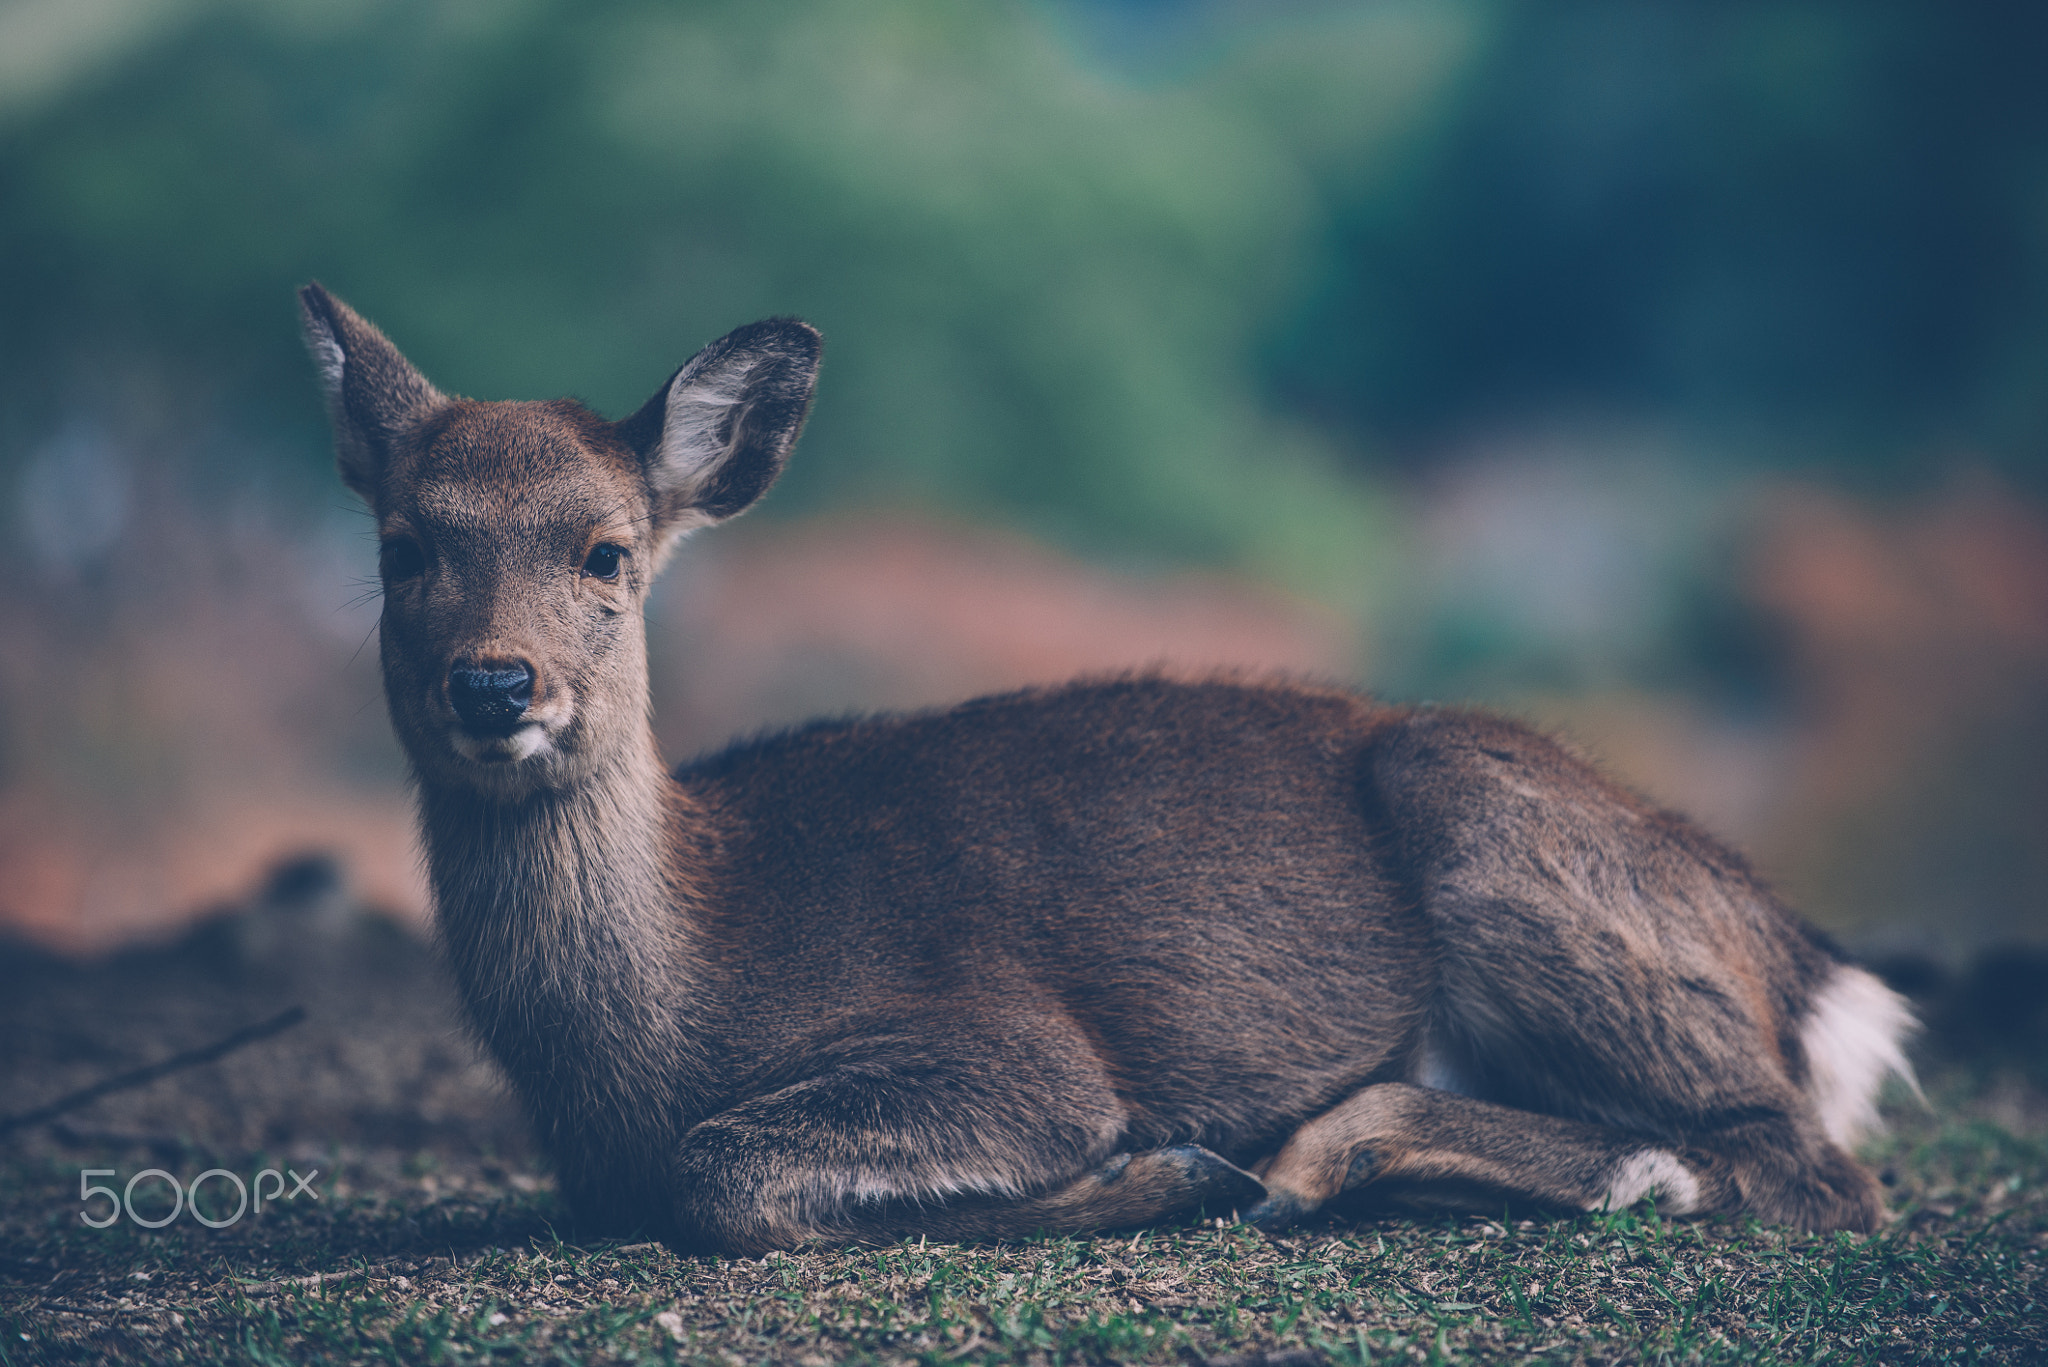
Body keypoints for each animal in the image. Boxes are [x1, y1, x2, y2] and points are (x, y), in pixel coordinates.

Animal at [299, 282, 1916, 1254]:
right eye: (406, 544)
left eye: (607, 552)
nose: (495, 679)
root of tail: (1819, 970)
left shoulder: (1008, 1046)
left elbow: (733, 1173)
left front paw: (1165, 1168)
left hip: (1500, 839)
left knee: (1803, 1157)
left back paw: (1315, 1163)